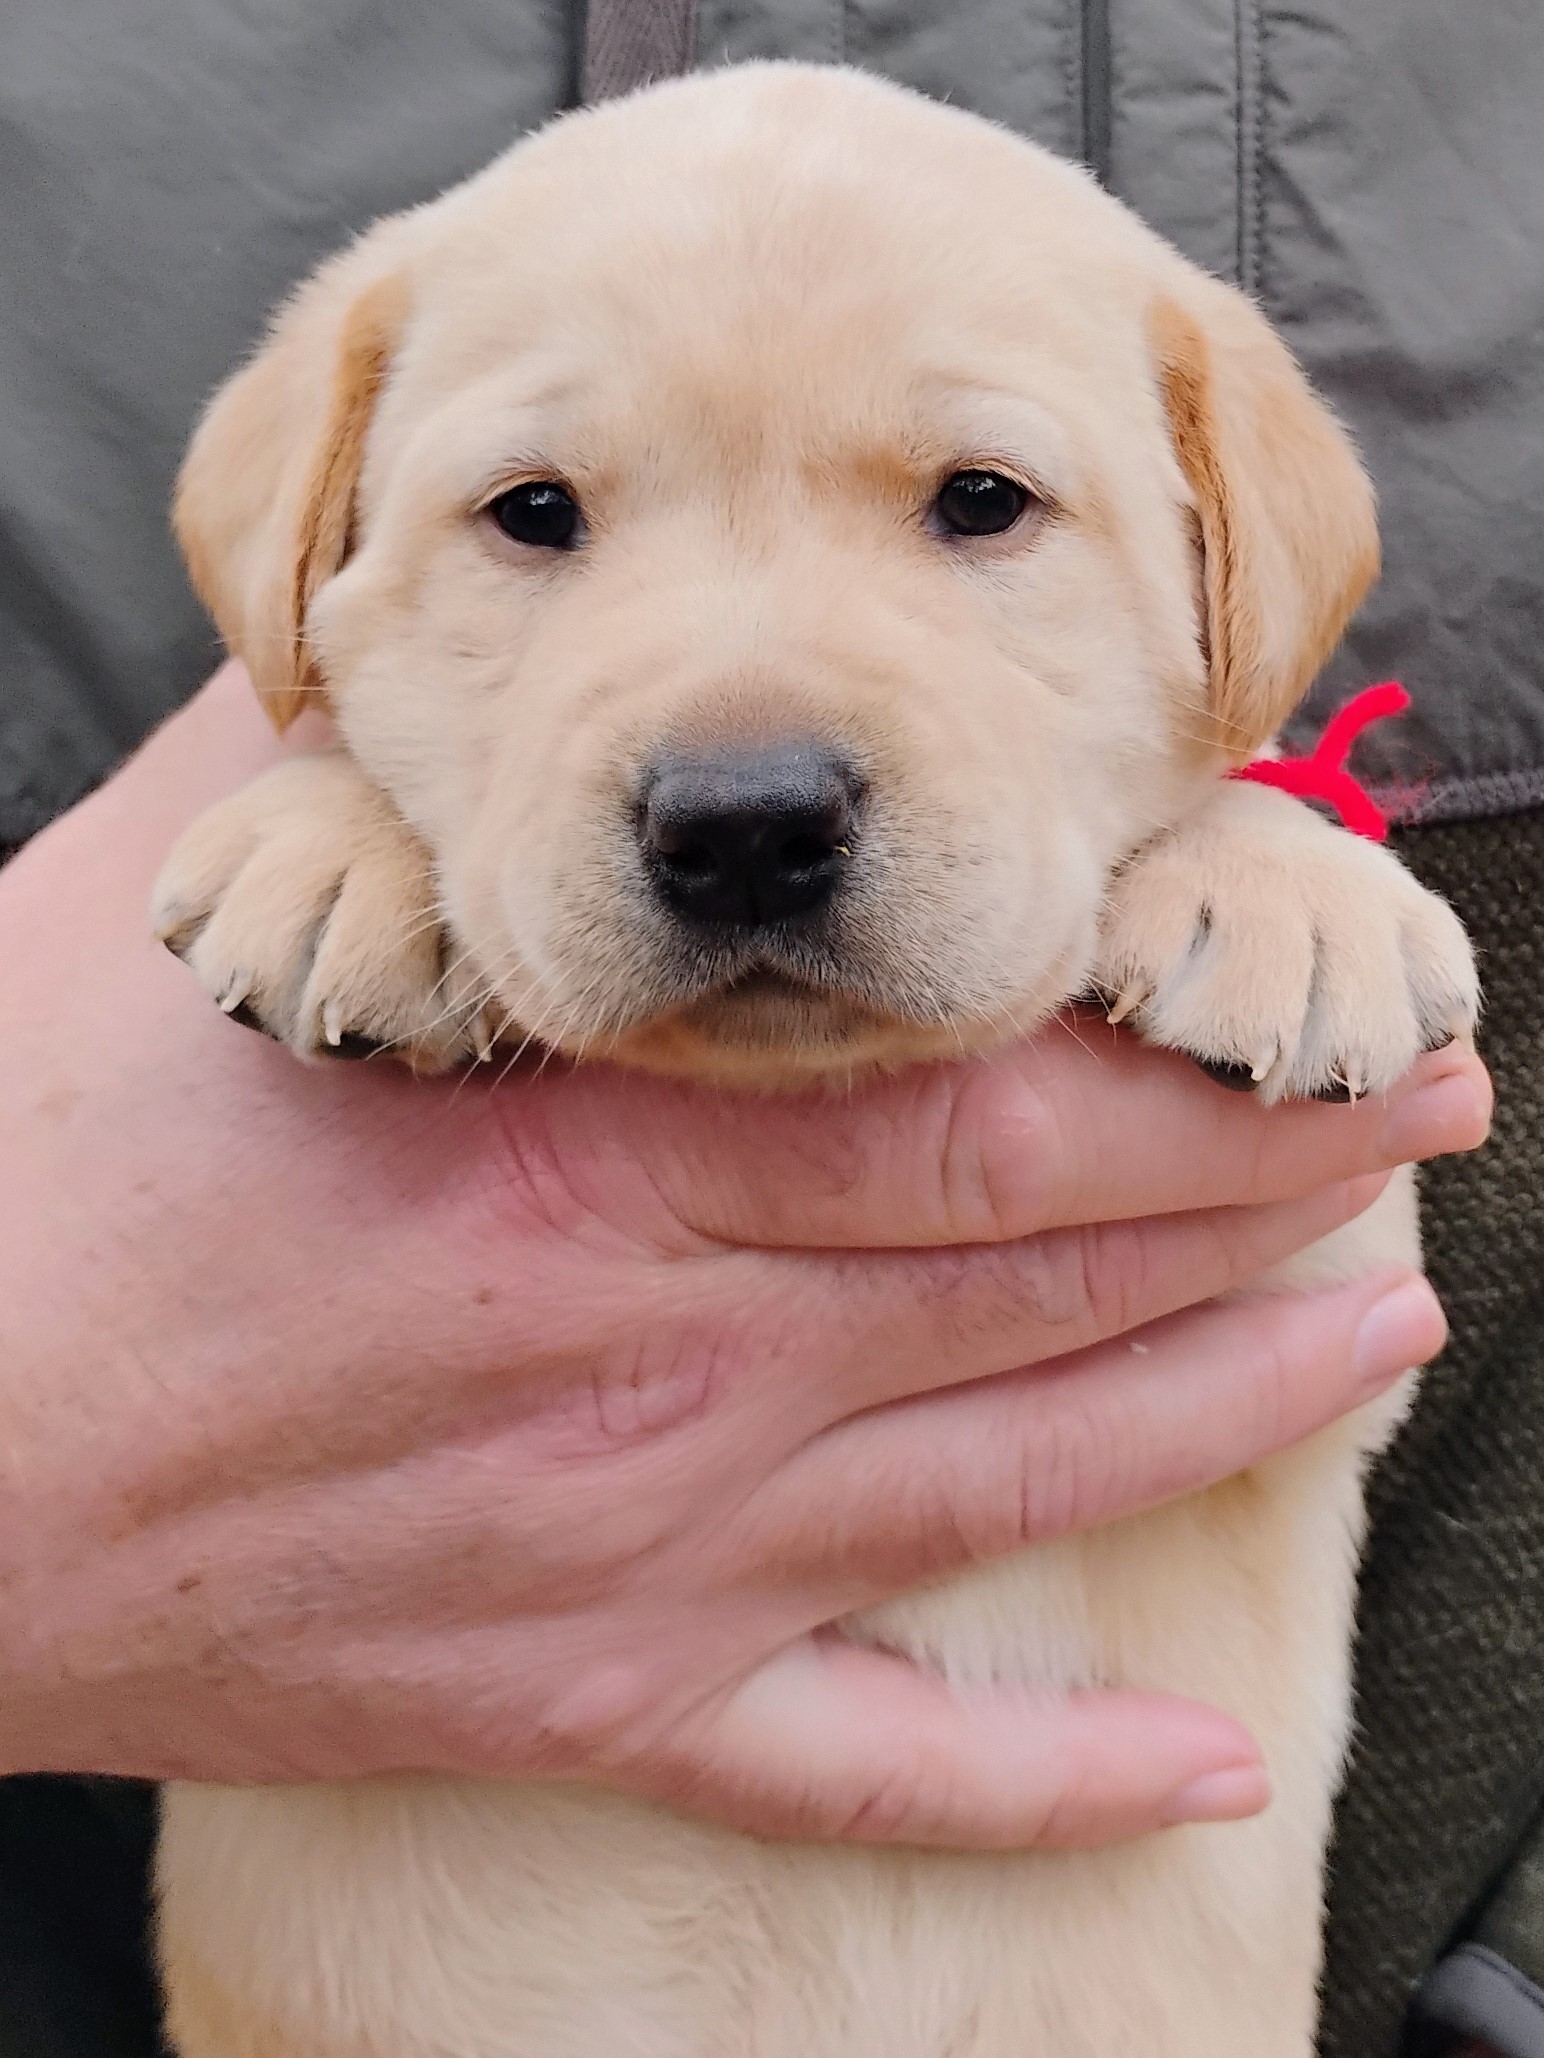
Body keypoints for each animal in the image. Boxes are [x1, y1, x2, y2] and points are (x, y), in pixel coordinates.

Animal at [151, 56, 1482, 2058]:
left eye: (983, 502)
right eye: (532, 513)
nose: (747, 821)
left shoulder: (1312, 1336)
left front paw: (1286, 884)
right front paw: (330, 843)